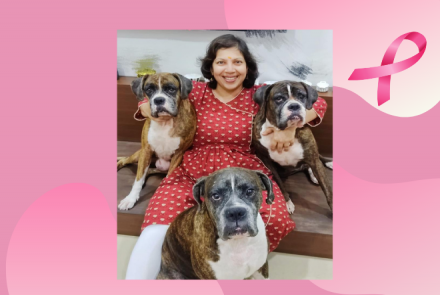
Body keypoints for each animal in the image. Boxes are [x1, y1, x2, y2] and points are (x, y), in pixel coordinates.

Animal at [118, 74, 198, 213]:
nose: (159, 100)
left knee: (149, 171)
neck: (165, 121)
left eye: (171, 89)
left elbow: (170, 176)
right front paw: (131, 198)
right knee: (126, 161)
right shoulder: (146, 151)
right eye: (149, 90)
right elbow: (138, 180)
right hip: (139, 155)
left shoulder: (178, 154)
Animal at [251, 81, 334, 213]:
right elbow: (279, 182)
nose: (294, 106)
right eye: (279, 98)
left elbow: (327, 191)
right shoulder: (266, 160)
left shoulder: (313, 157)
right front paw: (288, 201)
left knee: (316, 161)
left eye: (301, 96)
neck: (282, 131)